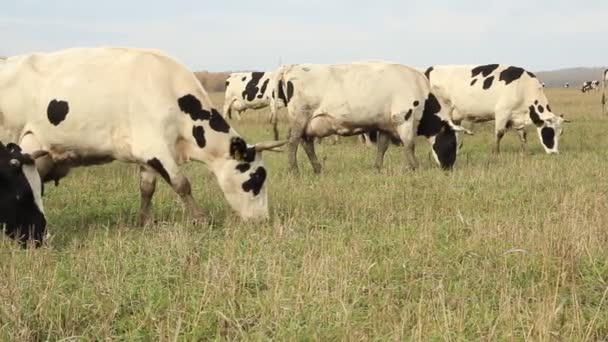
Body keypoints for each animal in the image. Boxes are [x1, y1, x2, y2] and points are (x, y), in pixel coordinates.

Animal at [0, 48, 288, 224]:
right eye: (255, 179)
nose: (263, 219)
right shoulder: (155, 147)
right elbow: (182, 183)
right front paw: (200, 218)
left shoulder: (147, 154)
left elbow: (147, 188)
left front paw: (145, 221)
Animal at [272, 60, 476, 174]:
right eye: (452, 143)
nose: (449, 168)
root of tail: (291, 67)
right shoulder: (404, 119)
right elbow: (410, 145)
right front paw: (415, 167)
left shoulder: (385, 125)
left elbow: (382, 147)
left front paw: (378, 168)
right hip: (300, 117)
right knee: (293, 143)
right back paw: (294, 171)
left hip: (309, 123)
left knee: (307, 144)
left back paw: (318, 169)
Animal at [426, 63, 568, 154]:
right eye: (549, 131)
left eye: (560, 133)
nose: (554, 152)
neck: (524, 87)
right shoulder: (502, 112)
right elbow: (499, 133)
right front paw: (496, 152)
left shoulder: (517, 117)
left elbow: (523, 135)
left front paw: (526, 152)